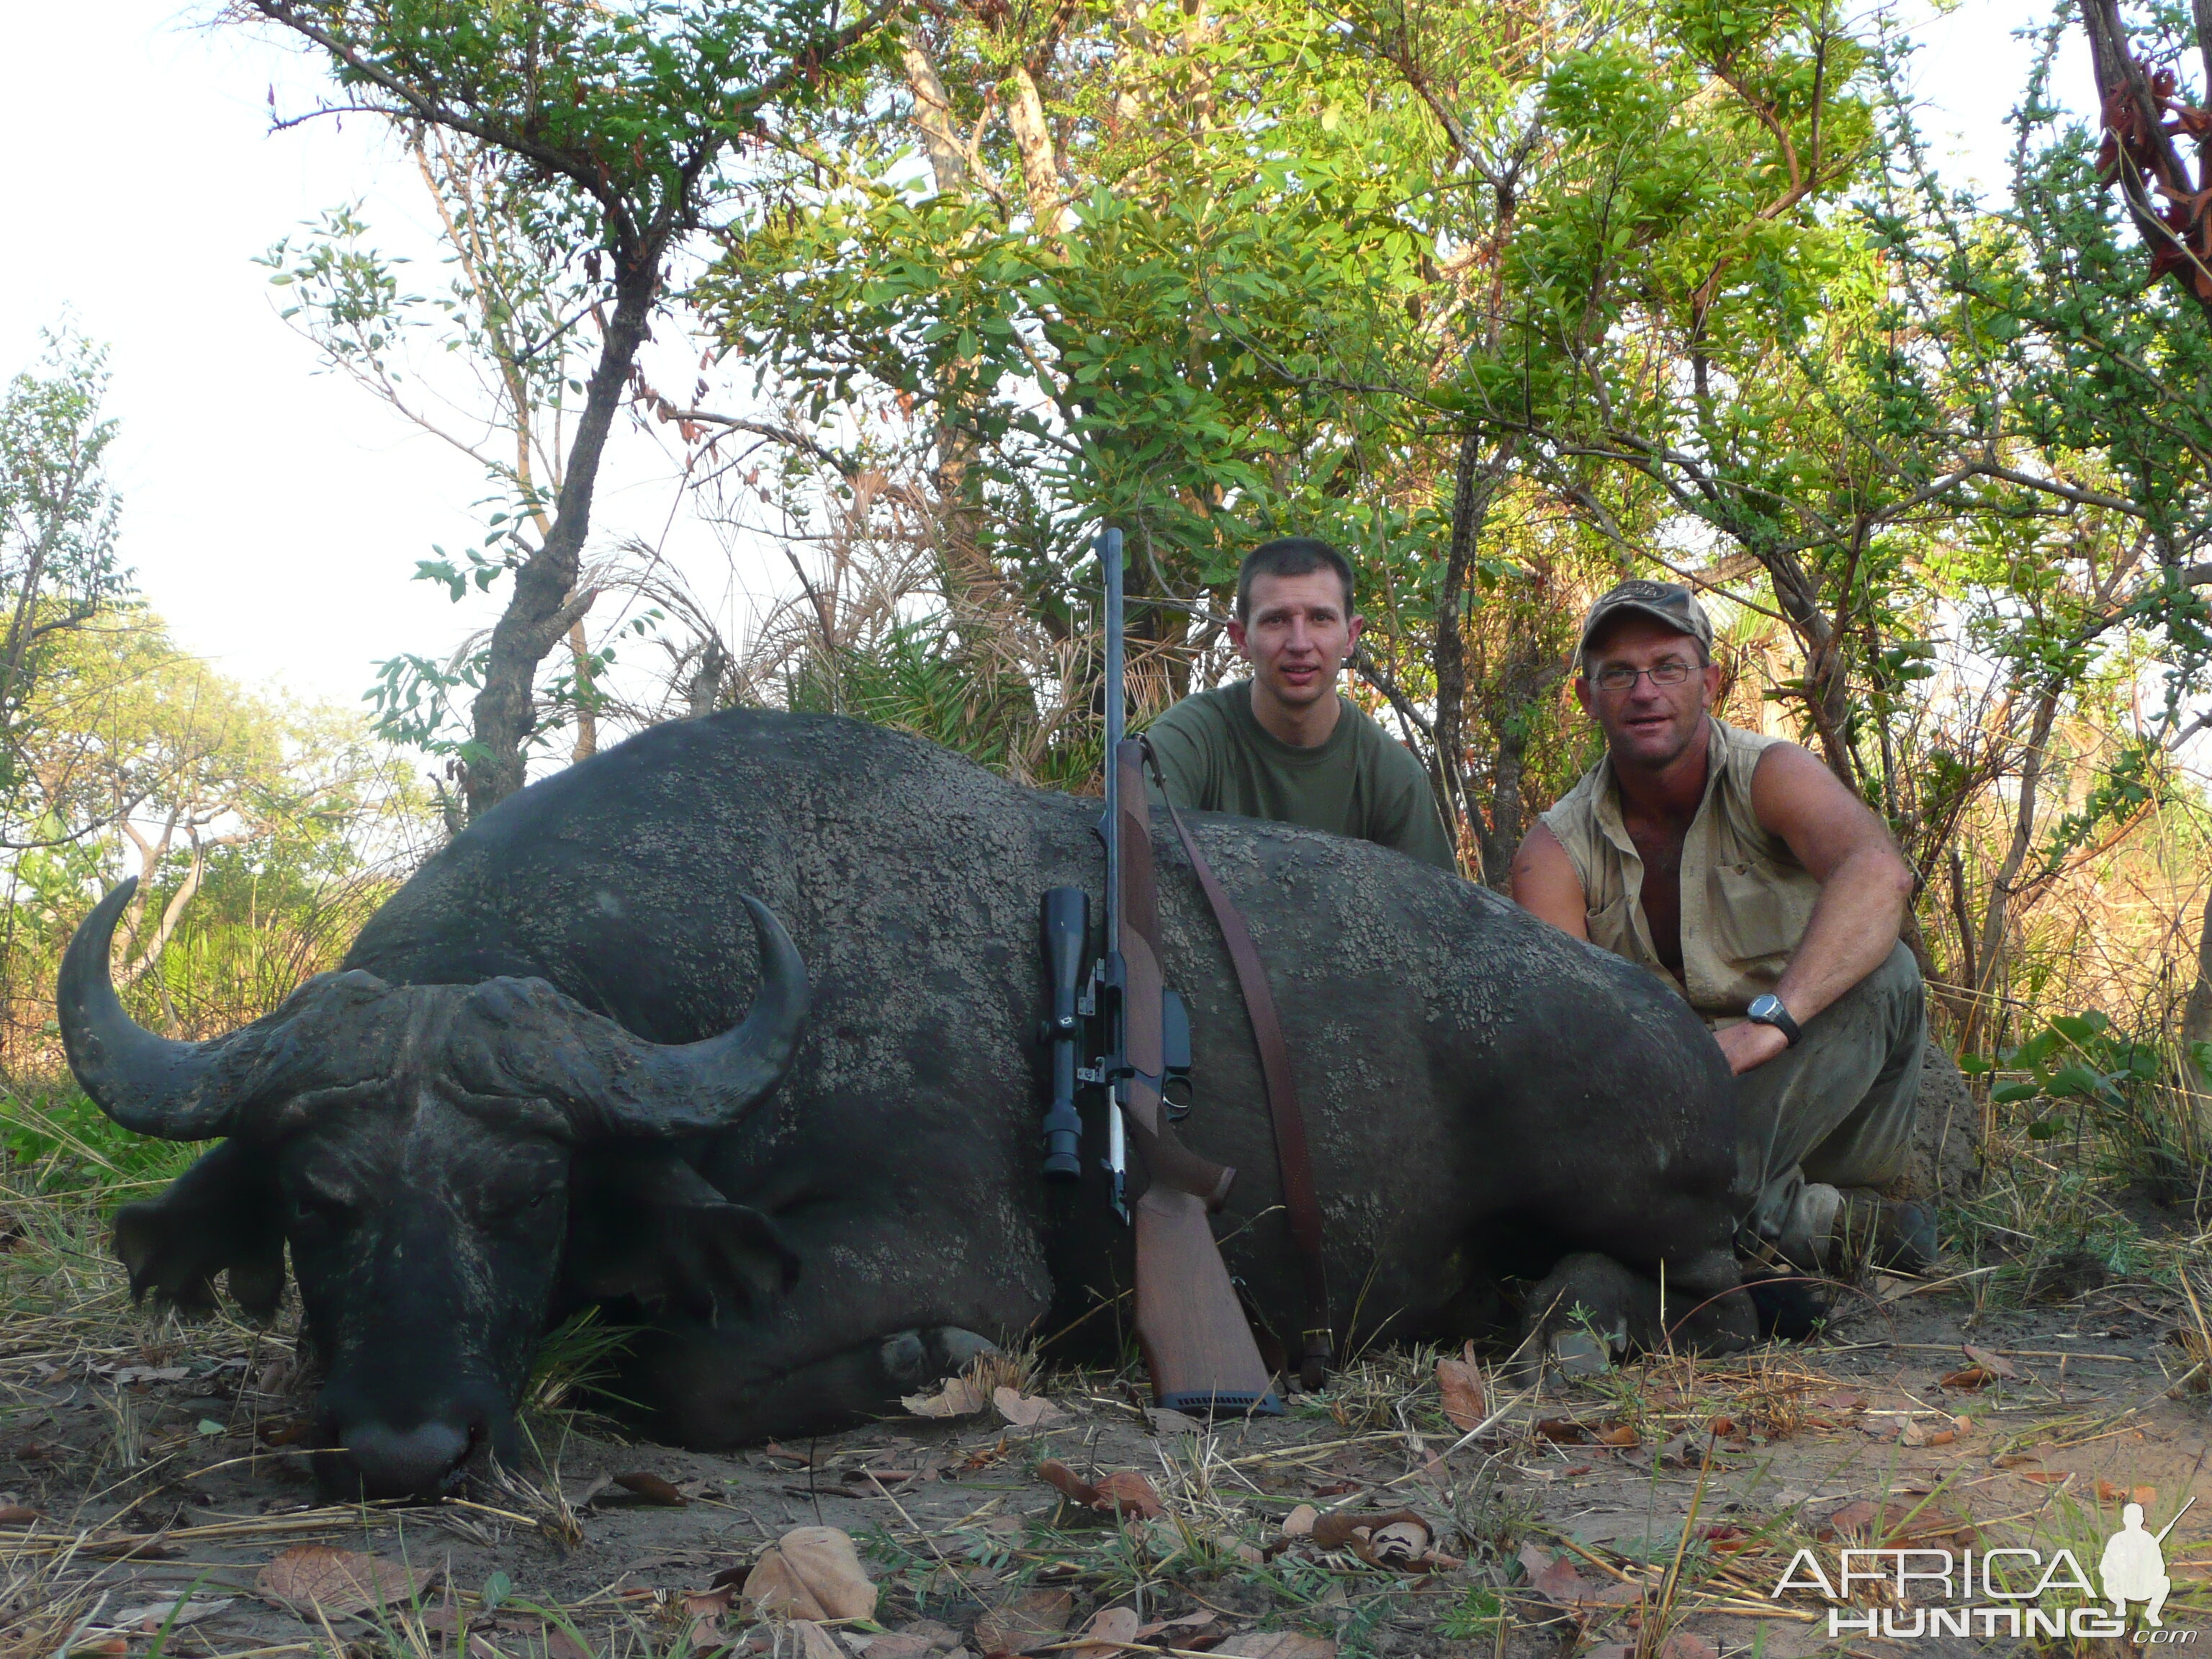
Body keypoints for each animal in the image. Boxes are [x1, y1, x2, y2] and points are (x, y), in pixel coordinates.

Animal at [64, 716, 1743, 1503]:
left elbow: (679, 1375)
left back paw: (1570, 1322)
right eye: (316, 1203)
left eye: (524, 1198)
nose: (408, 1446)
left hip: (1648, 1188)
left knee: (1709, 1280)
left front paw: (922, 1364)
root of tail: (1679, 1042)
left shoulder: (940, 1250)